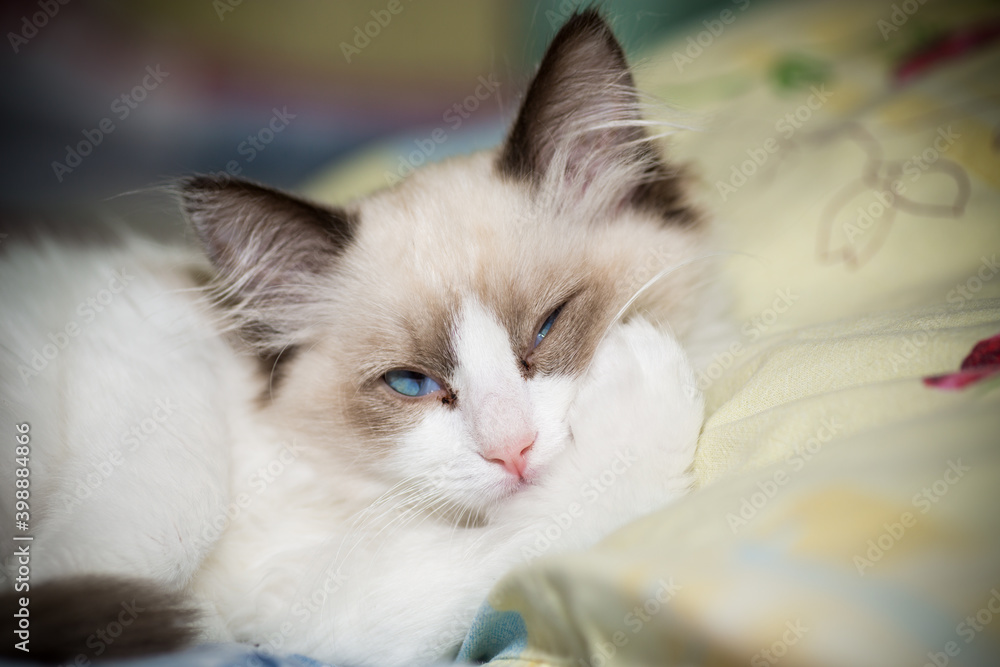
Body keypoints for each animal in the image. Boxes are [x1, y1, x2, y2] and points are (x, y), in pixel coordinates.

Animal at [5, 10, 712, 667]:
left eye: (547, 326)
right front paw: (639, 382)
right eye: (410, 384)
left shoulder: (304, 613)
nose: (511, 452)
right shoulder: (141, 325)